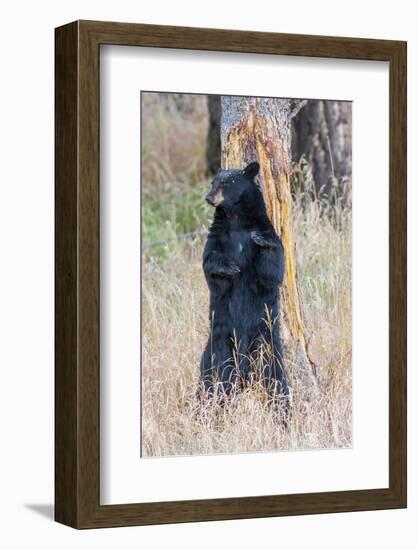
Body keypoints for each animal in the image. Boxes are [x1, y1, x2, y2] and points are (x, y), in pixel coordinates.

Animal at [200, 162, 288, 412]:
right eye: (213, 182)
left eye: (227, 182)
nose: (209, 197)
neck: (236, 219)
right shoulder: (217, 237)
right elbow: (210, 266)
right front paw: (229, 267)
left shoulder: (266, 230)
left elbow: (272, 270)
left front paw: (262, 240)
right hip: (219, 345)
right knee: (214, 380)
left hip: (266, 343)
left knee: (276, 379)